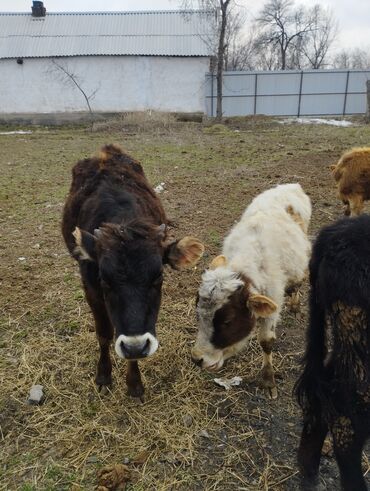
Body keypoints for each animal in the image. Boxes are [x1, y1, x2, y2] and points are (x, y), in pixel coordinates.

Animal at [62, 145, 204, 400]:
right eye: (104, 281)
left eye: (158, 277)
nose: (135, 345)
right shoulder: (91, 289)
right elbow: (104, 334)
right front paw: (104, 375)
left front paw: (135, 384)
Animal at [192, 184, 310, 400]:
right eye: (199, 315)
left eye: (227, 321)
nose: (198, 359)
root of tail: (291, 185)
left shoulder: (272, 304)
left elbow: (266, 341)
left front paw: (268, 380)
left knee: (298, 283)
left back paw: (295, 305)